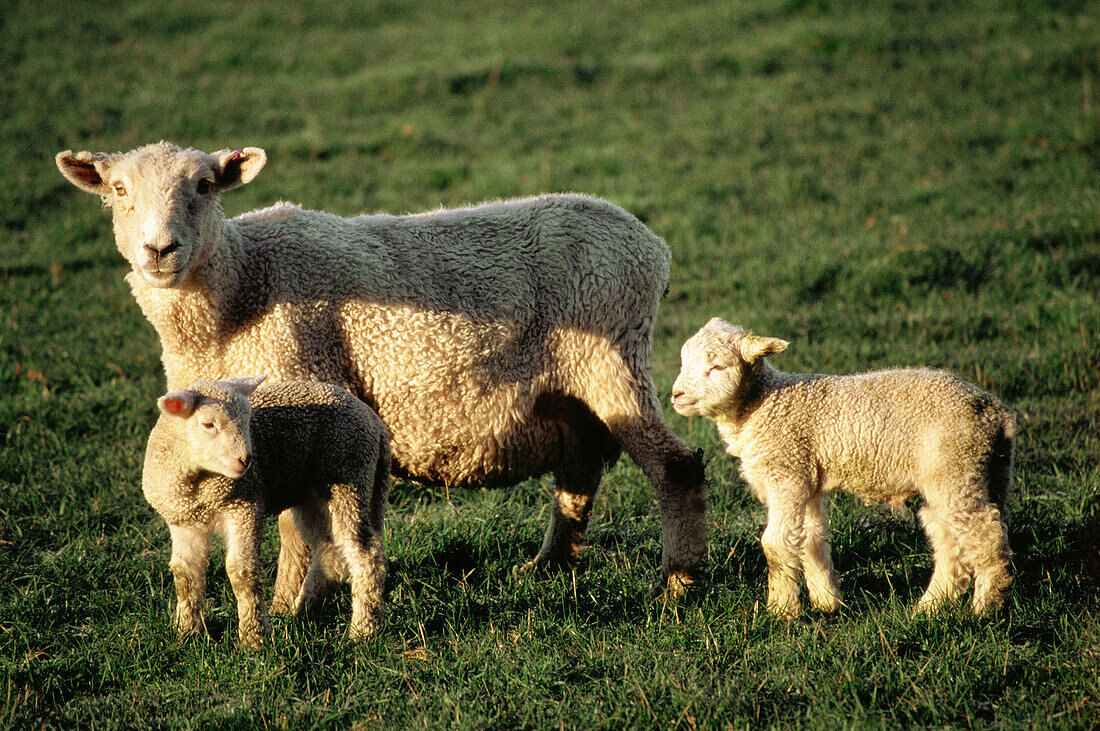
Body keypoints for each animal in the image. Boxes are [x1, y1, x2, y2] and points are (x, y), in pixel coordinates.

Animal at [58, 140, 704, 602]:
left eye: (204, 185)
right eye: (118, 189)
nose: (158, 250)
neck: (241, 287)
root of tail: (651, 244)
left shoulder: (296, 393)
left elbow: (293, 525)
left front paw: (287, 609)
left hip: (613, 357)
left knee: (676, 468)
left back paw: (678, 584)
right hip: (569, 388)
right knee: (578, 471)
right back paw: (548, 567)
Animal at [141, 375, 389, 650]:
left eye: (248, 420)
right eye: (208, 424)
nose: (246, 460)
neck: (198, 487)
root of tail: (373, 420)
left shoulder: (244, 506)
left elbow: (241, 571)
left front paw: (253, 638)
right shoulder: (183, 521)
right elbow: (185, 574)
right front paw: (187, 633)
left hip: (348, 476)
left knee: (365, 554)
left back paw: (362, 630)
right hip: (314, 494)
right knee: (329, 555)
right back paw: (301, 611)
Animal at [668, 318, 1012, 615]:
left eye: (717, 367)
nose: (676, 395)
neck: (762, 405)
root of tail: (996, 411)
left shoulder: (786, 473)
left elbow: (775, 545)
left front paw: (781, 610)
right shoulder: (805, 481)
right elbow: (810, 541)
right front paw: (827, 603)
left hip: (956, 471)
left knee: (985, 533)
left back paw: (984, 606)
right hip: (960, 475)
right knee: (951, 545)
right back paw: (930, 607)